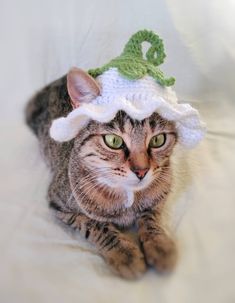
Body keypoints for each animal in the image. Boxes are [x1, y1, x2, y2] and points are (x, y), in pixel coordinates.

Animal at [24, 69, 177, 280]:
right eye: (113, 141)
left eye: (158, 140)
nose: (142, 171)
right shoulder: (58, 203)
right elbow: (95, 225)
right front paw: (124, 253)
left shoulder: (160, 195)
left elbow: (150, 218)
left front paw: (159, 245)